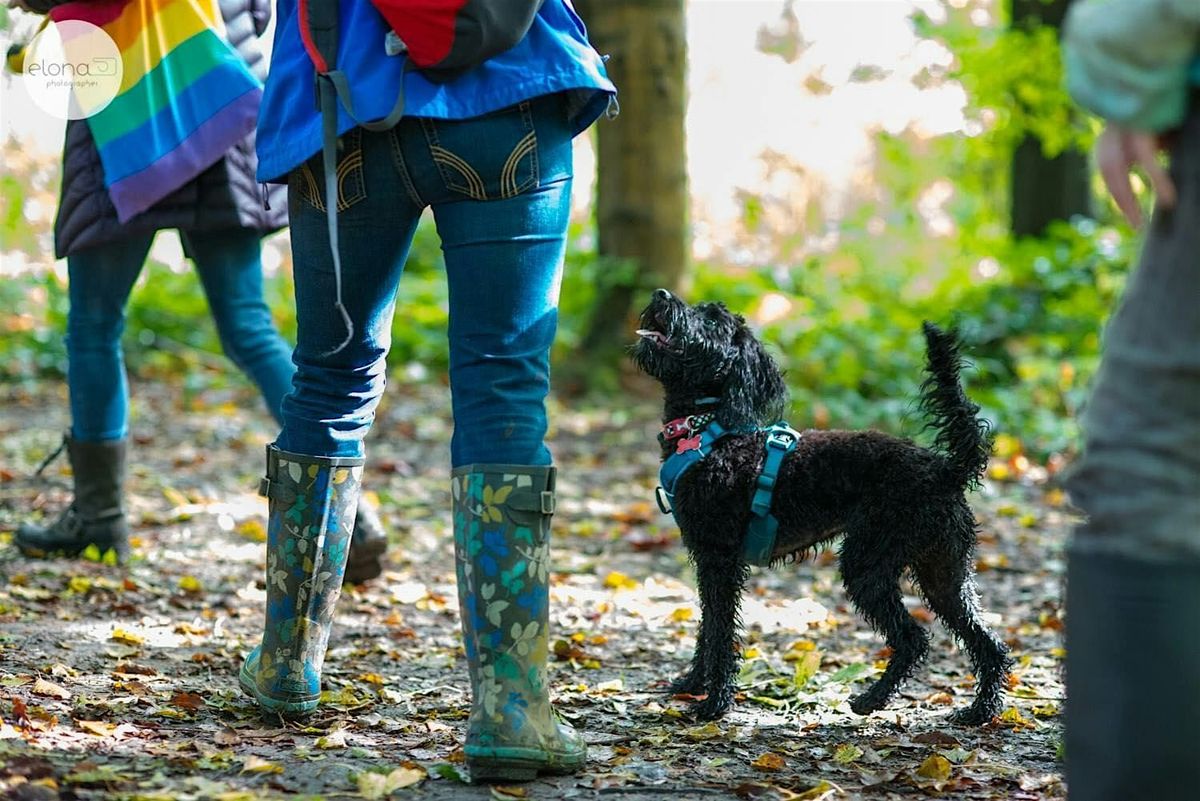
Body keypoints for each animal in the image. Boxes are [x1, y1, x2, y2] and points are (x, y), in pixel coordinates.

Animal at [628, 288, 1012, 724]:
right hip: (944, 570)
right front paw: (691, 683)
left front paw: (714, 704)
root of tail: (945, 469)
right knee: (988, 643)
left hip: (869, 562)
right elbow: (707, 628)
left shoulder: (719, 560)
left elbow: (720, 633)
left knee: (914, 637)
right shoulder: (708, 561)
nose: (660, 294)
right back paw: (980, 710)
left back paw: (873, 699)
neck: (708, 431)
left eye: (710, 321)